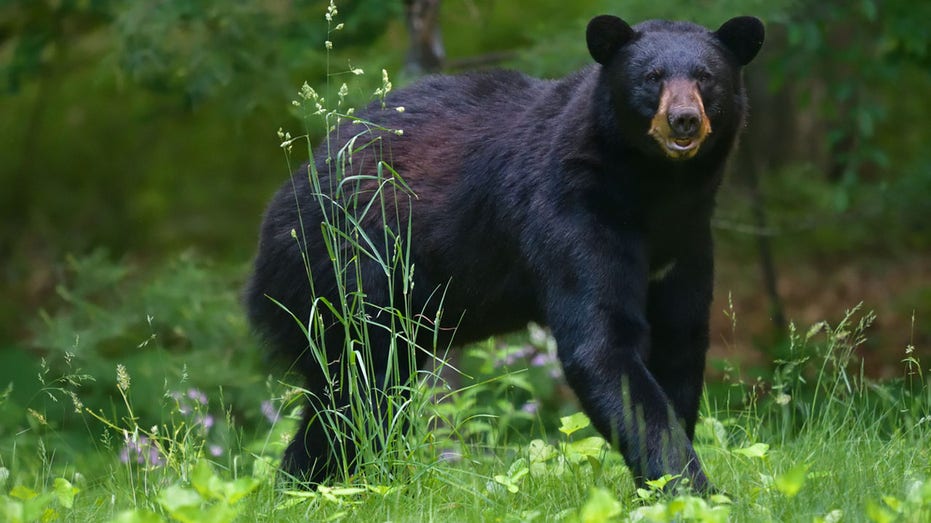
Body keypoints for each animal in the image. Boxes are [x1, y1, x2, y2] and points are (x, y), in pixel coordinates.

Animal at [246, 13, 764, 496]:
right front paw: (694, 489)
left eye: (706, 76)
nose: (684, 119)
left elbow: (680, 340)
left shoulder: (687, 238)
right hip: (349, 271)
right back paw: (312, 484)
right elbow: (602, 343)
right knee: (358, 387)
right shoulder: (573, 211)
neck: (654, 189)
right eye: (652, 76)